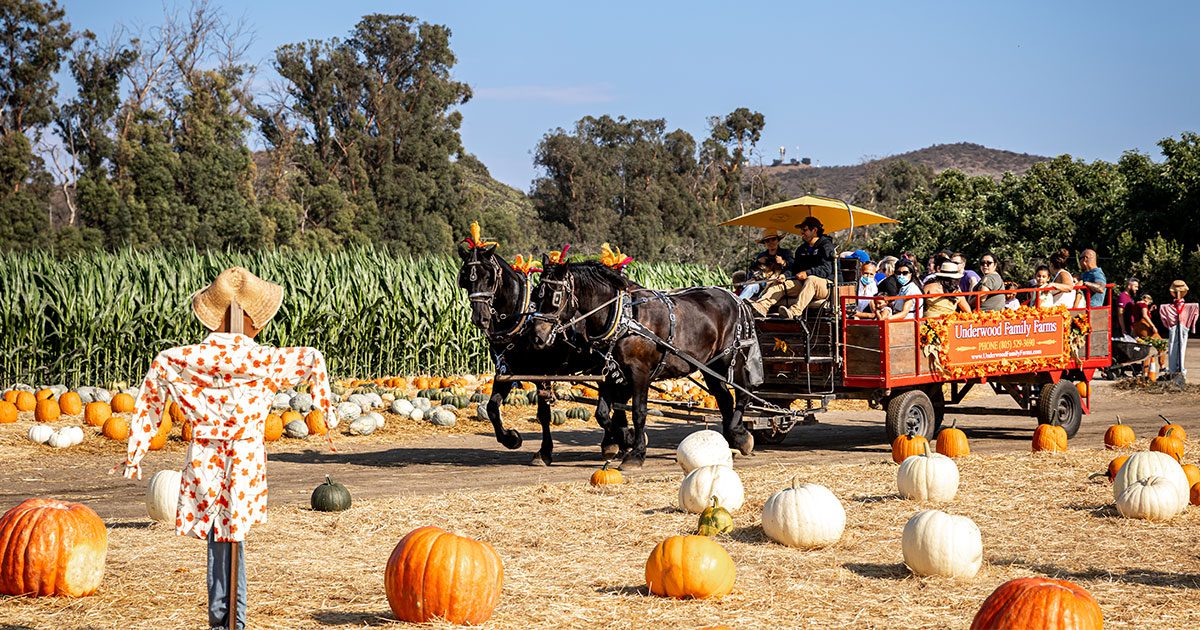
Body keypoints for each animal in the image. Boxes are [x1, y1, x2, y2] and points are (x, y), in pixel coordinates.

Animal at [528, 259, 753, 465]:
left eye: (555, 296)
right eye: (536, 294)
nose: (537, 336)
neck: (622, 316)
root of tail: (735, 299)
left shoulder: (640, 373)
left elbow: (638, 412)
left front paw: (636, 454)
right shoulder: (610, 374)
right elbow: (602, 414)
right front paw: (625, 439)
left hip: (729, 360)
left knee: (743, 393)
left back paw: (739, 435)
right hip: (708, 367)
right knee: (725, 399)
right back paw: (732, 440)